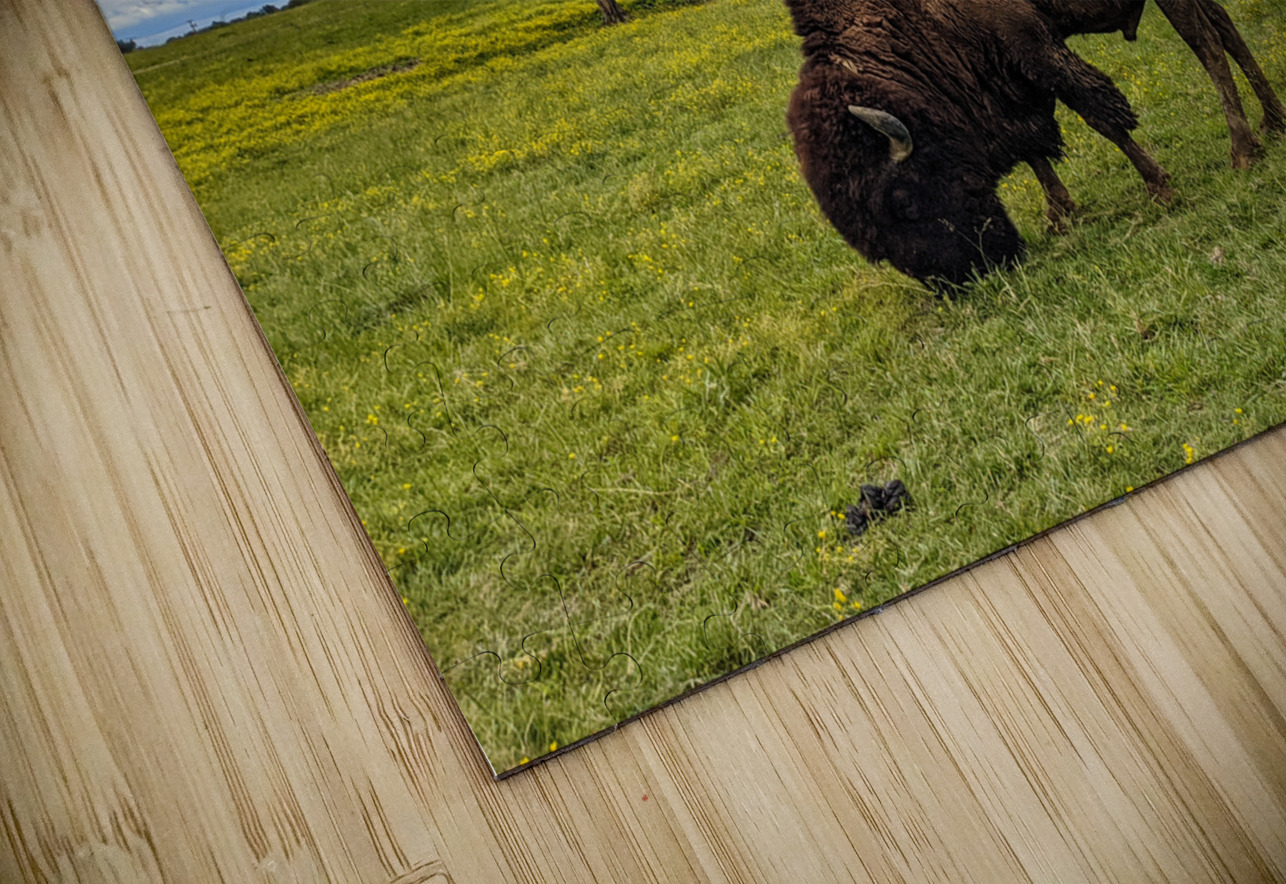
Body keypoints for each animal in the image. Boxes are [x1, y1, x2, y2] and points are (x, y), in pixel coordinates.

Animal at [786, 0, 1281, 286]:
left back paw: (1243, 150)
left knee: (1208, 44)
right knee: (1225, 28)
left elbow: (1097, 111)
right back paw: (1273, 123)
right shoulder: (998, 75)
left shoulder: (1028, 40)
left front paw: (1160, 189)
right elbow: (1033, 150)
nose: (969, 279)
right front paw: (1060, 217)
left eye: (904, 201)